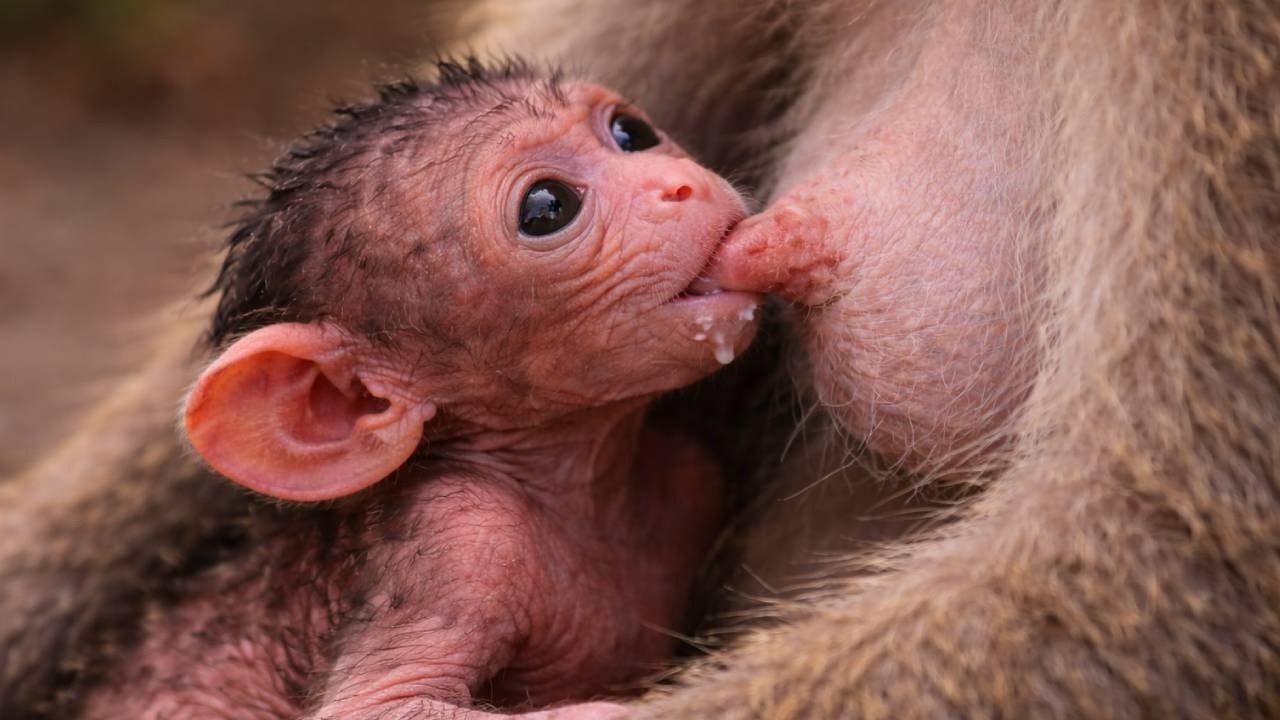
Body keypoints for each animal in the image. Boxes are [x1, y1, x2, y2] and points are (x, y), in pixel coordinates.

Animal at [3, 0, 1278, 718]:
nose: (677, 189)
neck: (578, 480)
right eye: (548, 207)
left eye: (628, 132)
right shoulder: (456, 548)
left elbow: (1160, 559)